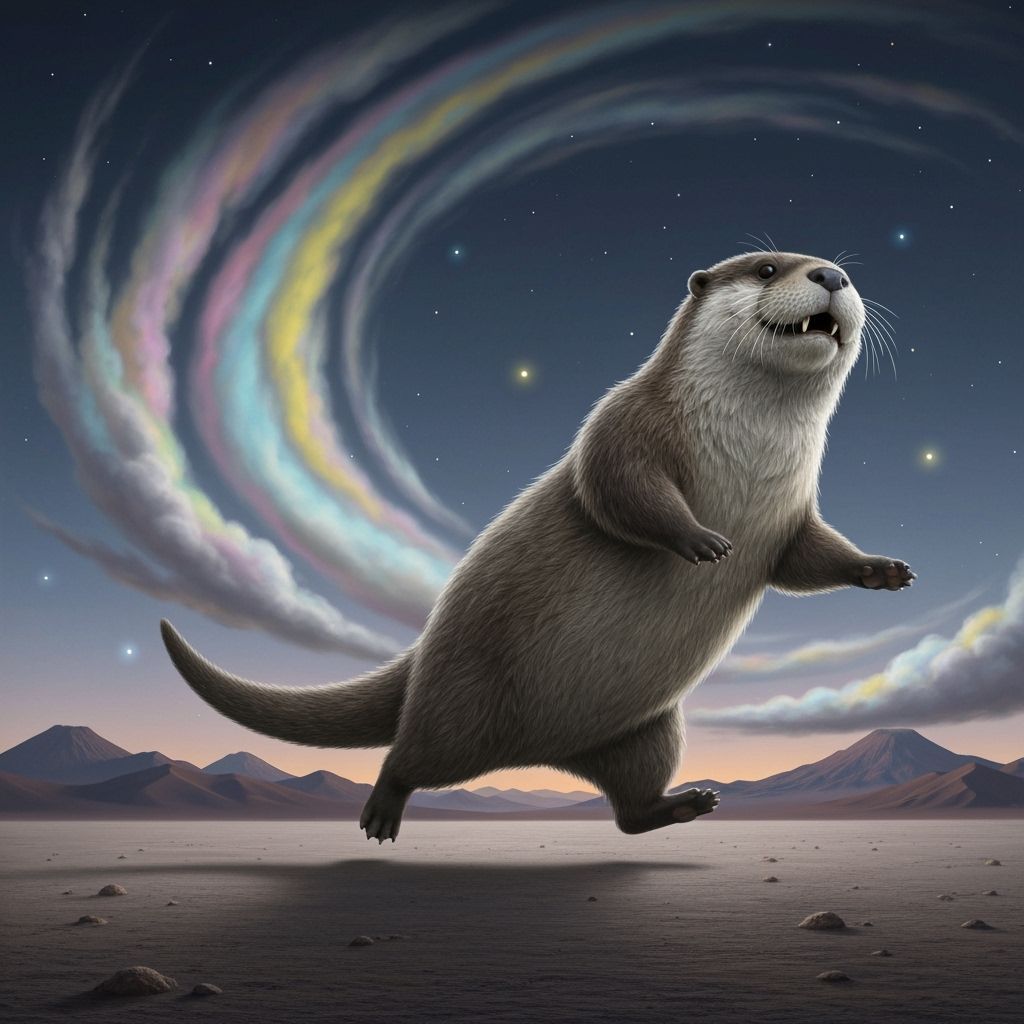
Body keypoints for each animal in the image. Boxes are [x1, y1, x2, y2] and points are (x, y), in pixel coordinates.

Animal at [161, 250, 915, 842]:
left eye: (836, 268)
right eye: (766, 268)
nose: (832, 274)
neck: (752, 459)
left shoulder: (792, 513)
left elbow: (806, 559)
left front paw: (880, 569)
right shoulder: (625, 422)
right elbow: (615, 490)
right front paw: (698, 539)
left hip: (646, 732)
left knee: (627, 811)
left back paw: (684, 804)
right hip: (461, 701)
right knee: (408, 754)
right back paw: (381, 812)